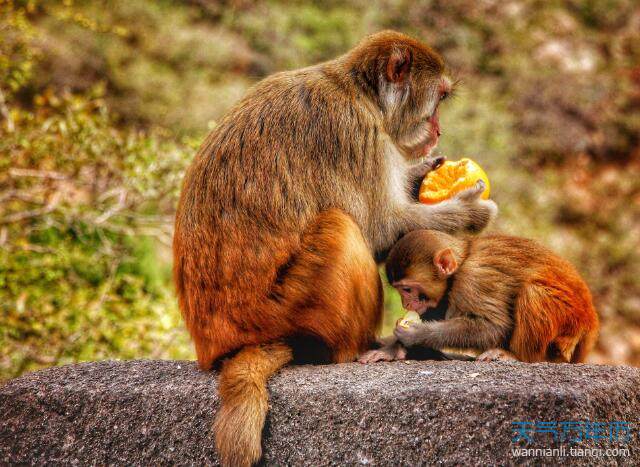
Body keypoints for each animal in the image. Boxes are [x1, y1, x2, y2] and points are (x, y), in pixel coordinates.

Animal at [172, 31, 498, 466]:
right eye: (439, 99)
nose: (439, 131)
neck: (363, 95)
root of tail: (222, 345)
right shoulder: (353, 132)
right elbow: (379, 229)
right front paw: (469, 210)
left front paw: (421, 172)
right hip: (284, 309)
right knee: (342, 229)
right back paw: (361, 348)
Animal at [362, 232, 596, 364]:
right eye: (400, 290)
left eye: (408, 289)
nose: (406, 303)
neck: (464, 259)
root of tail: (591, 322)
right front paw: (394, 349)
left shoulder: (472, 279)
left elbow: (495, 326)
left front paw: (417, 334)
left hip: (571, 320)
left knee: (533, 292)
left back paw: (521, 357)